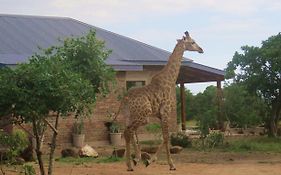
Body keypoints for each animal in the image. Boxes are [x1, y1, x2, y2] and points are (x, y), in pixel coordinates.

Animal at [122, 31, 201, 171]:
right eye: (192, 42)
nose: (201, 49)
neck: (169, 80)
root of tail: (126, 99)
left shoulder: (160, 115)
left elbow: (164, 137)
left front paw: (149, 160)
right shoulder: (166, 111)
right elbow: (166, 137)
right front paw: (171, 165)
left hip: (133, 116)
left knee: (128, 131)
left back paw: (134, 160)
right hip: (143, 114)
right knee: (128, 131)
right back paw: (131, 165)